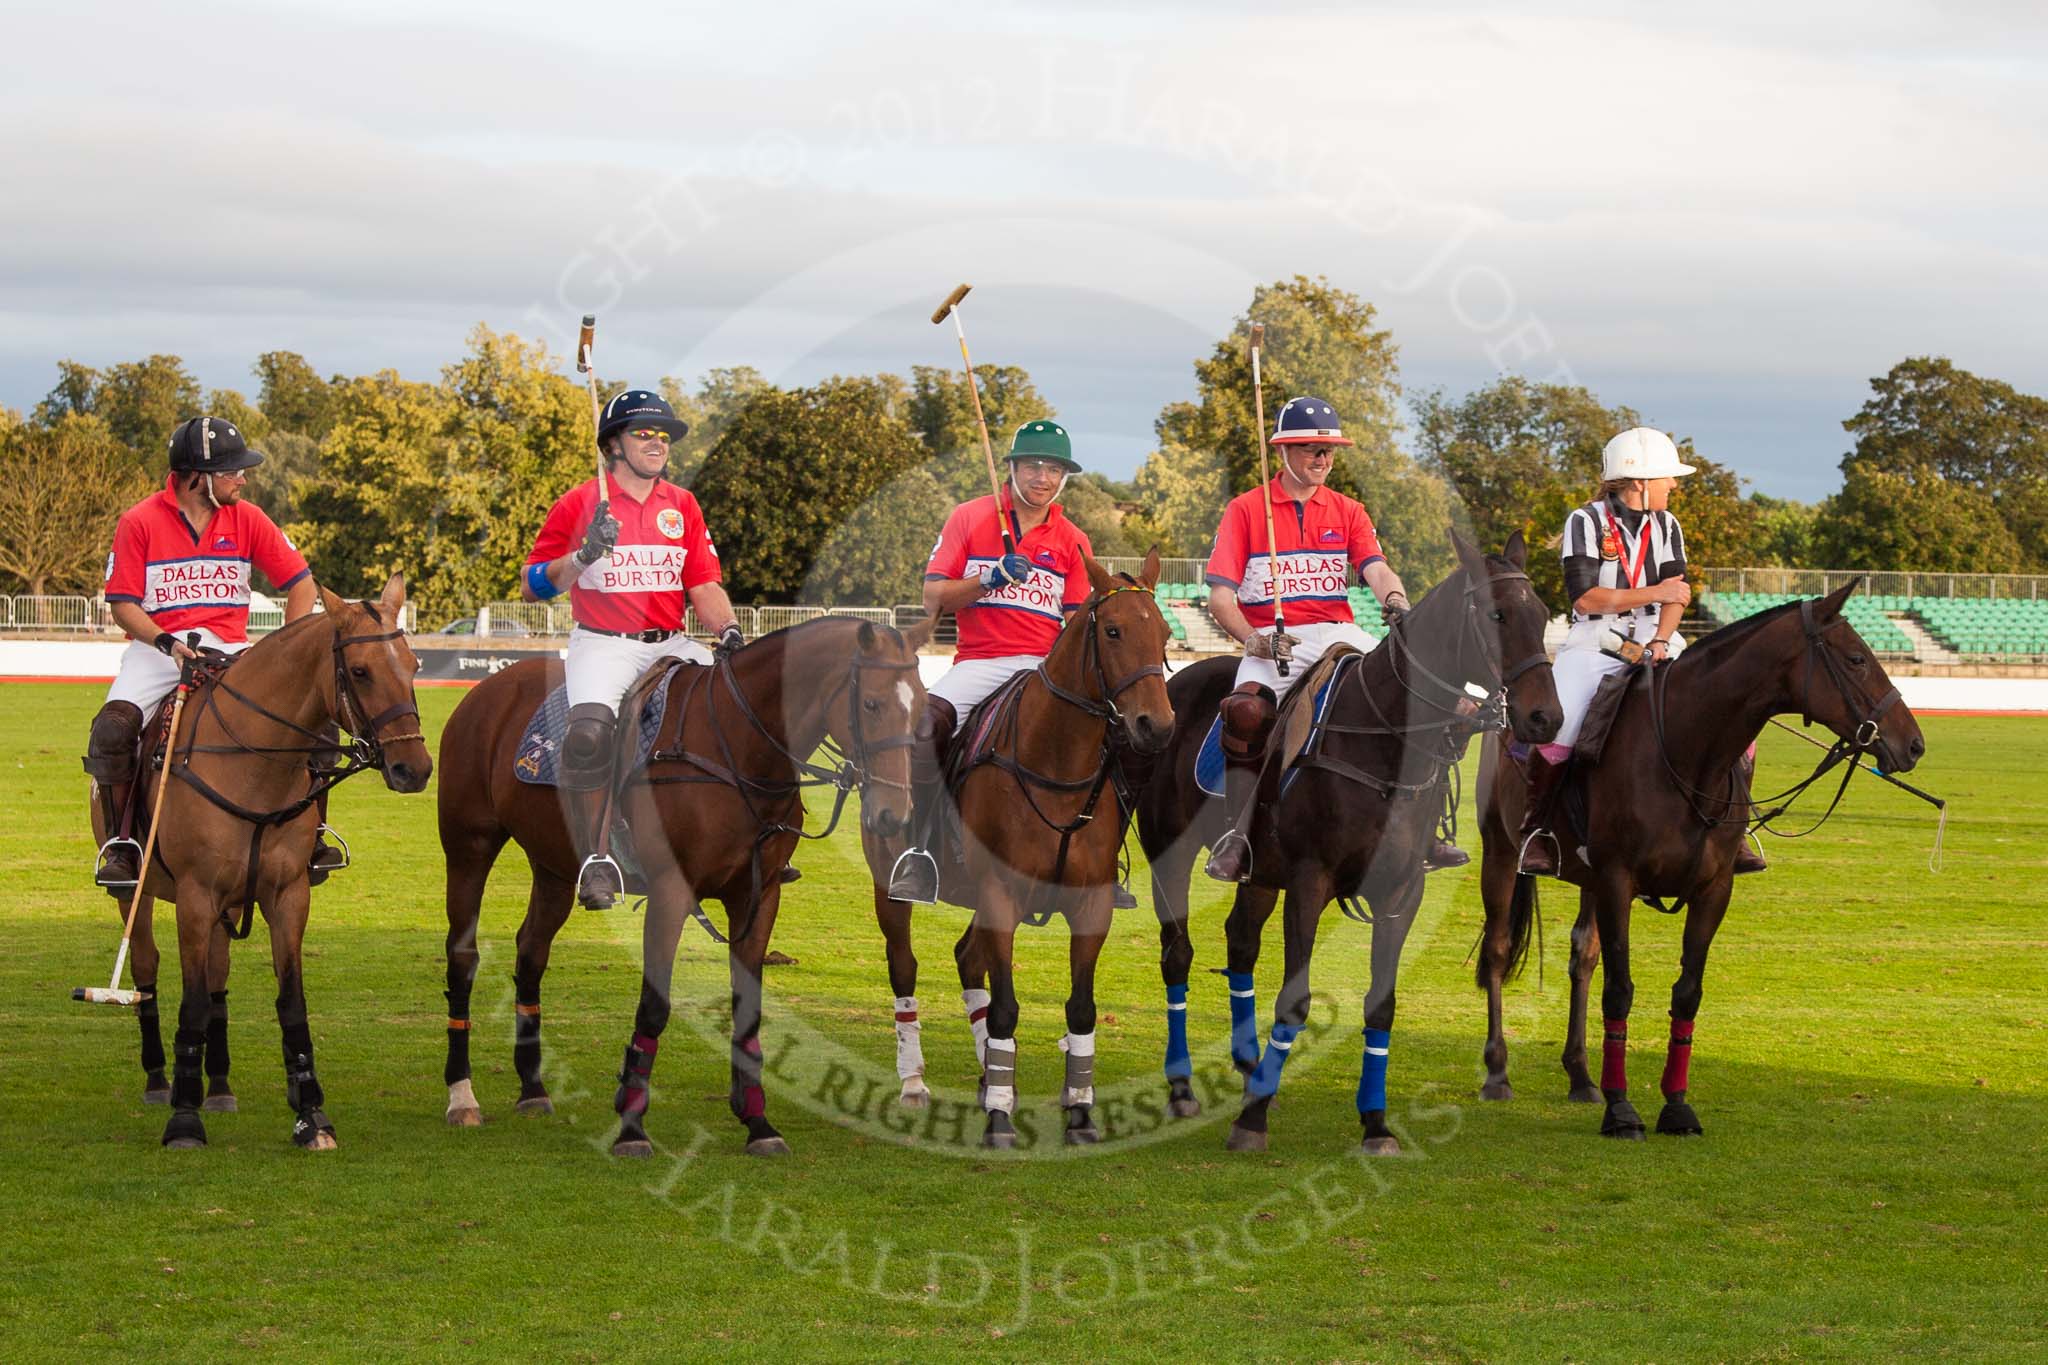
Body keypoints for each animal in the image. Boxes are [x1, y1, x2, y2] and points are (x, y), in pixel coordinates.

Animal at [97, 577, 434, 1154]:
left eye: (413, 664)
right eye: (360, 671)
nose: (413, 768)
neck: (255, 763)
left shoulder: (288, 895)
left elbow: (289, 1000)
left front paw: (311, 1115)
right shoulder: (195, 895)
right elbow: (189, 1002)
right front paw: (183, 1121)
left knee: (216, 977)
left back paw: (219, 1085)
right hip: (133, 894)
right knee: (145, 968)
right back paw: (161, 1081)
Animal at [440, 613, 937, 1162]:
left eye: (920, 706)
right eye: (871, 704)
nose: (894, 816)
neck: (739, 750)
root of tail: (489, 689)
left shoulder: (759, 895)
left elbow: (748, 1007)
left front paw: (758, 1122)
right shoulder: (670, 892)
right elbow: (654, 1006)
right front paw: (632, 1126)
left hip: (552, 867)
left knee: (531, 951)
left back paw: (532, 1088)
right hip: (469, 846)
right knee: (463, 953)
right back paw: (461, 1096)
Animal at [937, 548, 1179, 1146]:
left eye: (1164, 632)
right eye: (1113, 631)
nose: (1157, 727)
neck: (1057, 765)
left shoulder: (1091, 904)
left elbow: (1082, 1009)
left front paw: (1081, 1114)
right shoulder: (999, 893)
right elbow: (1004, 1010)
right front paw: (1000, 1120)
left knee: (967, 956)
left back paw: (988, 1079)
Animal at [1138, 532, 1564, 1154]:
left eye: (1544, 615)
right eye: (1497, 615)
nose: (1545, 718)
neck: (1383, 736)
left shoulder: (1402, 890)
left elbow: (1381, 1005)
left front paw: (1375, 1123)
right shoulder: (1309, 880)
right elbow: (1294, 1001)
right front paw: (1253, 1121)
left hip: (1259, 870)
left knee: (1240, 941)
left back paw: (1250, 1066)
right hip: (1167, 850)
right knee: (1178, 954)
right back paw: (1182, 1088)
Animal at [1474, 585, 1916, 1146]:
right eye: (1857, 658)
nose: (1914, 743)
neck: (1689, 754)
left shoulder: (1713, 889)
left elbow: (1686, 994)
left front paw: (1676, 1105)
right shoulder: (1618, 879)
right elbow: (1620, 992)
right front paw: (1622, 1111)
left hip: (1586, 878)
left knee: (1583, 957)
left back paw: (1581, 1076)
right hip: (1500, 851)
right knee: (1497, 949)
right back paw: (1497, 1073)